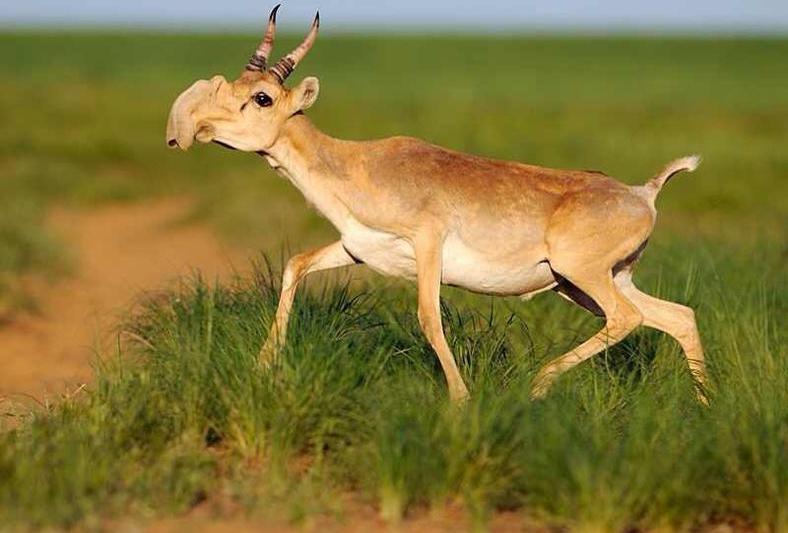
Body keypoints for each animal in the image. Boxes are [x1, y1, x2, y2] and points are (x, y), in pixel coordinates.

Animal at [166, 6, 708, 402]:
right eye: (234, 85)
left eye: (261, 98)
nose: (194, 127)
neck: (357, 164)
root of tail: (643, 193)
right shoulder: (356, 249)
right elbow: (295, 264)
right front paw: (264, 367)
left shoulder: (428, 244)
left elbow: (429, 317)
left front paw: (461, 401)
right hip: (590, 282)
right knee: (677, 316)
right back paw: (704, 408)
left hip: (581, 276)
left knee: (628, 319)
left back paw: (538, 384)